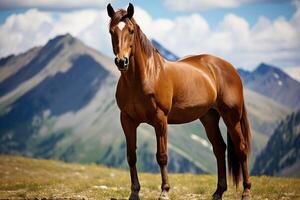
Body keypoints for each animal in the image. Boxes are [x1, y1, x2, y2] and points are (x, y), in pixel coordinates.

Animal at [106, 3, 252, 200]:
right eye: (111, 31)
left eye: (131, 30)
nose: (122, 61)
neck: (146, 76)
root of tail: (229, 68)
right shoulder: (127, 120)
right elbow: (131, 156)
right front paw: (134, 192)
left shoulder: (160, 119)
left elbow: (162, 156)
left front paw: (165, 191)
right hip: (209, 118)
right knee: (219, 149)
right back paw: (218, 192)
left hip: (232, 117)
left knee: (241, 148)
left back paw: (246, 191)